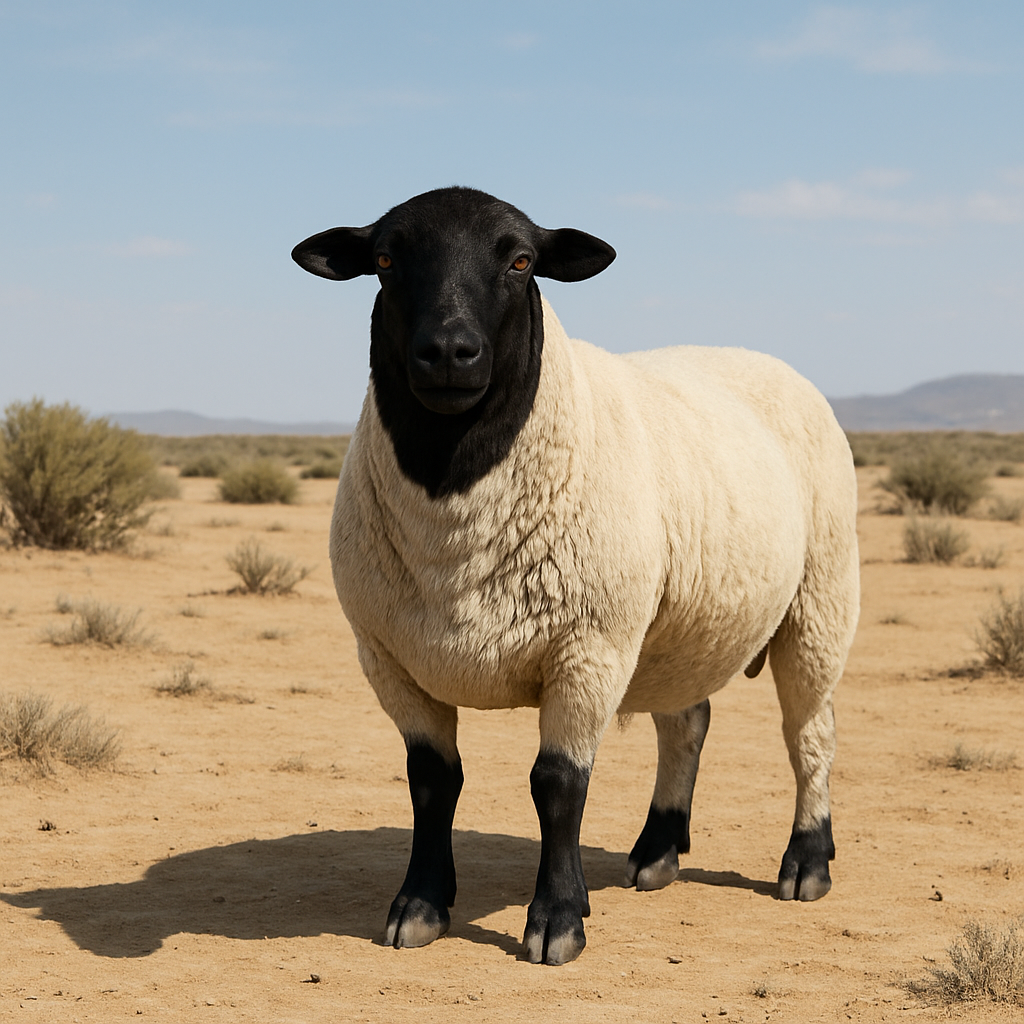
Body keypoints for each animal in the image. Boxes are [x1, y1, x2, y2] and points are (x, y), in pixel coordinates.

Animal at [291, 186, 860, 966]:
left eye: (522, 260)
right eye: (382, 260)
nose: (448, 352)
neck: (454, 514)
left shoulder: (588, 647)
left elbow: (557, 784)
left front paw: (557, 919)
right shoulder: (388, 658)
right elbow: (432, 782)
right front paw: (421, 904)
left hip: (819, 599)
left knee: (812, 732)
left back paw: (807, 860)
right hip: (676, 630)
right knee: (687, 722)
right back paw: (657, 850)